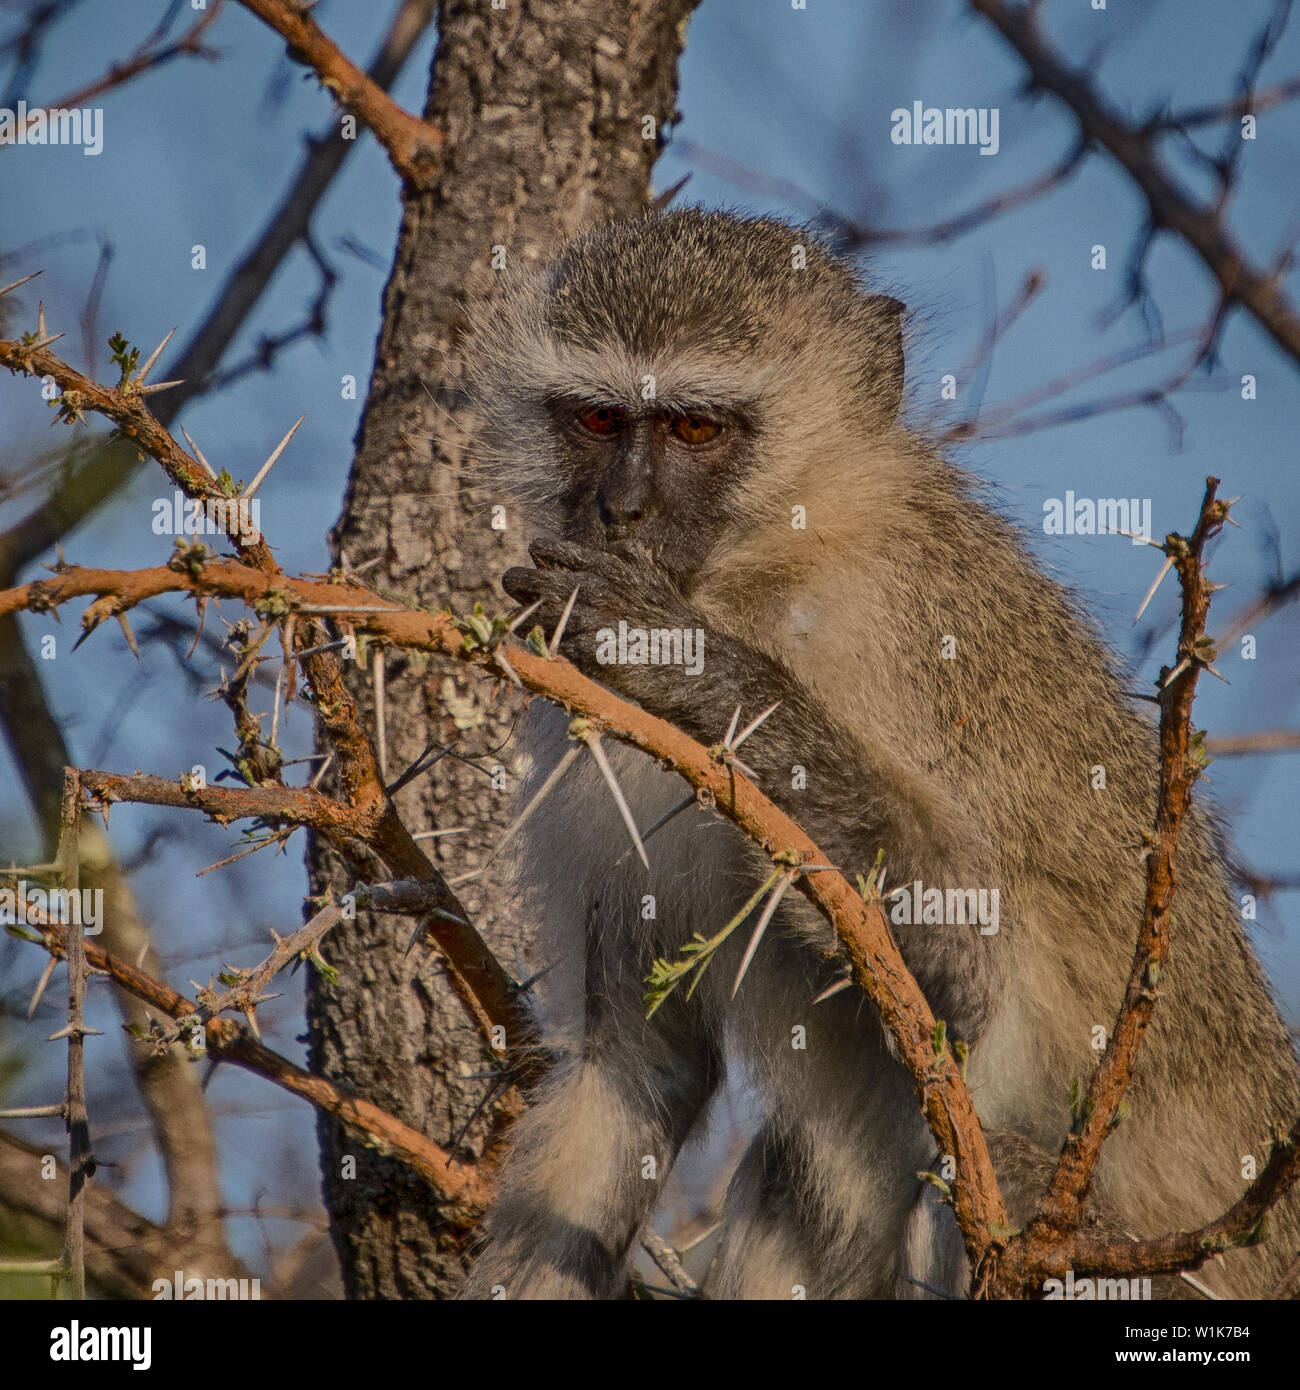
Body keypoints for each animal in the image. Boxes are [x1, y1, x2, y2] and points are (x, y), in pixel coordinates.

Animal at [458, 208, 1300, 1301]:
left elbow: (974, 968)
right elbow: (634, 1069)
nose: (620, 512)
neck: (762, 569)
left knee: (978, 1173)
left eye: (696, 429)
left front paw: (690, 666)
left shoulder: (899, 633)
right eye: (598, 420)